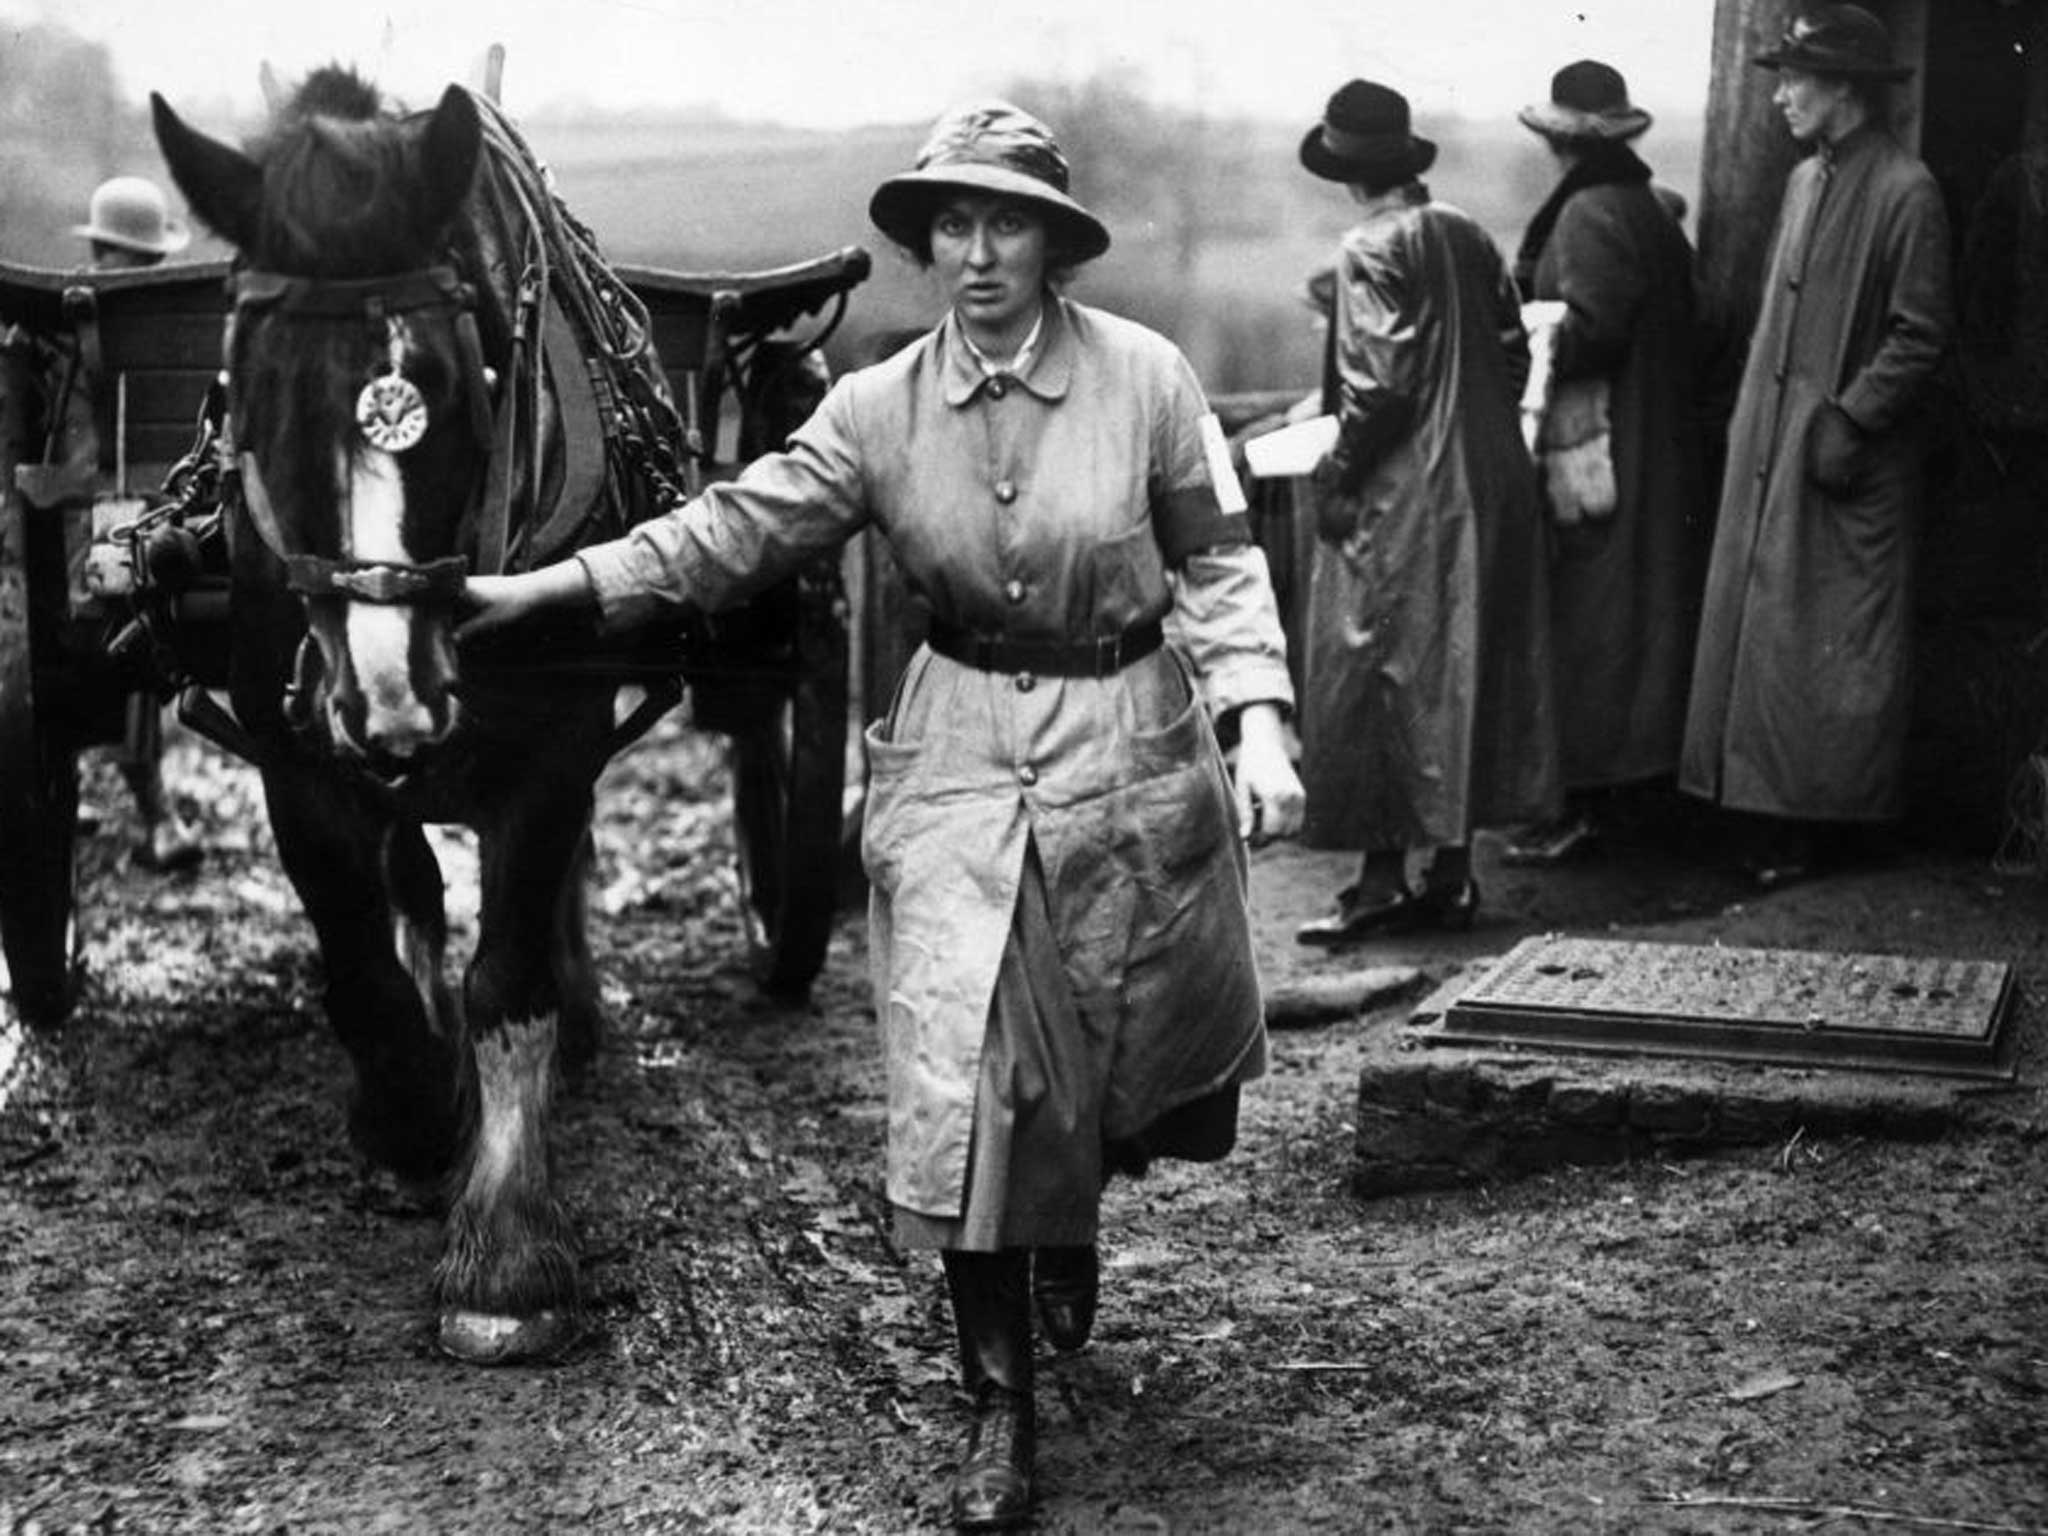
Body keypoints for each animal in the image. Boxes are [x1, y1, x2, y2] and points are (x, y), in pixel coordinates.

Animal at [149, 72, 647, 1368]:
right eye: (256, 395)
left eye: (464, 385)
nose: (390, 697)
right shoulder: (296, 755)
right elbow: (359, 960)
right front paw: (412, 1111)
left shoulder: (553, 746)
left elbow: (510, 974)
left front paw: (507, 1252)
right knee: (412, 879)